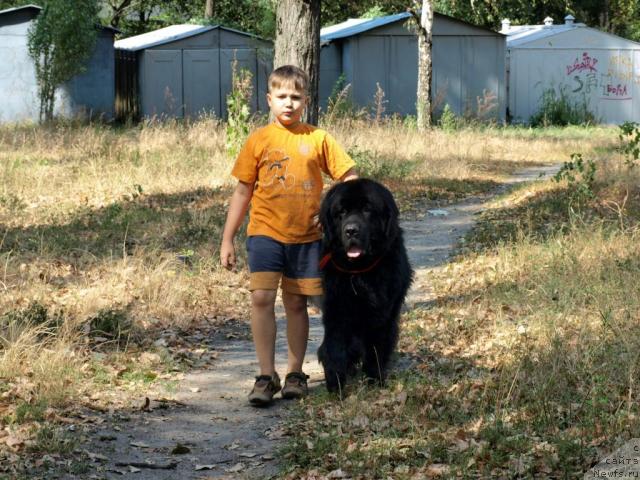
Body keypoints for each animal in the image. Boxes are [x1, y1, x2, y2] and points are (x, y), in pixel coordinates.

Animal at [318, 178, 412, 392]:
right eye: (341, 212)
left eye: (367, 209)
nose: (351, 230)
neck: (360, 273)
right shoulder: (337, 309)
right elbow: (335, 346)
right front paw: (336, 385)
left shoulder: (383, 312)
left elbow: (377, 347)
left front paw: (374, 380)